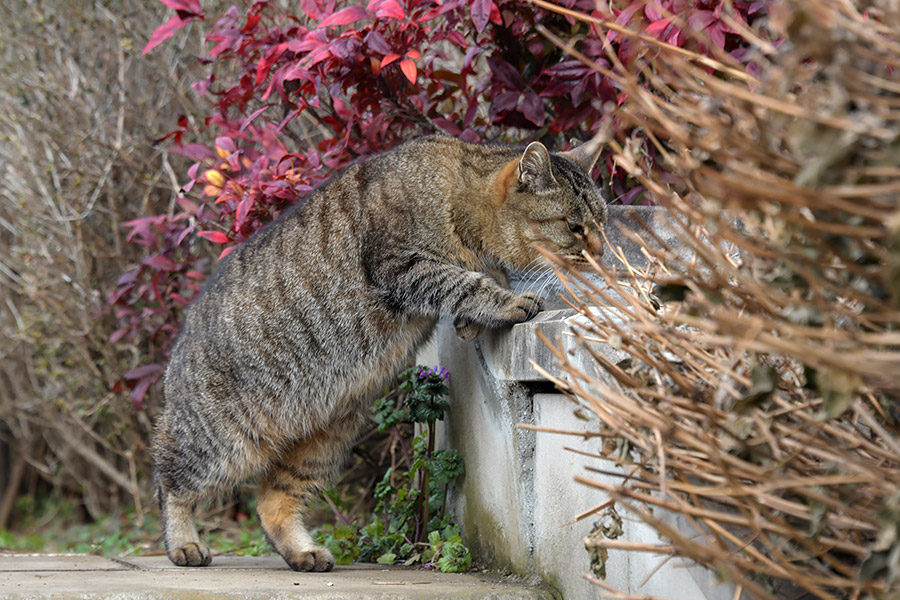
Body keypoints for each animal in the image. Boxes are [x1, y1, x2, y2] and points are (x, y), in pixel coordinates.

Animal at [155, 132, 608, 572]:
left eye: (601, 223)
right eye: (574, 226)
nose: (602, 252)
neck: (459, 196)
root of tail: (180, 340)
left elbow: (479, 276)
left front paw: (475, 315)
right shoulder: (402, 265)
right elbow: (466, 282)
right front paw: (504, 301)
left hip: (325, 440)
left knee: (272, 501)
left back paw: (302, 552)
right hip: (221, 442)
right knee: (169, 479)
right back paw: (183, 542)